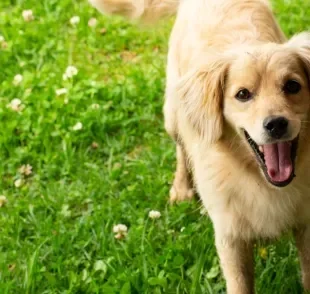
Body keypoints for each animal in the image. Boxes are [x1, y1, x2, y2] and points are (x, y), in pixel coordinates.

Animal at [89, 1, 310, 292]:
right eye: (243, 94)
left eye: (292, 86)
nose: (276, 124)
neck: (263, 183)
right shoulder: (230, 237)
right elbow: (240, 284)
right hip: (174, 114)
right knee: (181, 149)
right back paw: (181, 188)